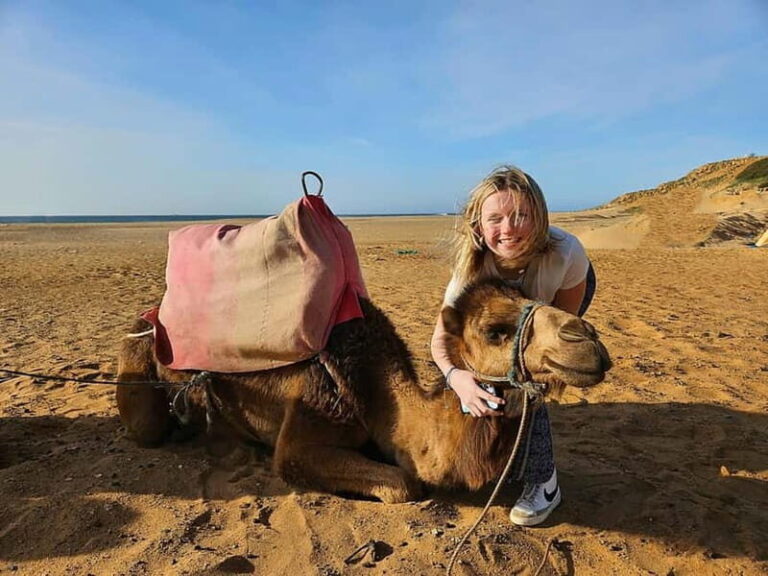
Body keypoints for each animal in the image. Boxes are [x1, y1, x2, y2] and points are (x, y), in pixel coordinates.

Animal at [116, 279, 611, 503]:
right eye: (495, 331)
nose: (587, 339)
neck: (374, 390)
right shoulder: (305, 426)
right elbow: (405, 483)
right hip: (137, 352)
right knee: (148, 426)